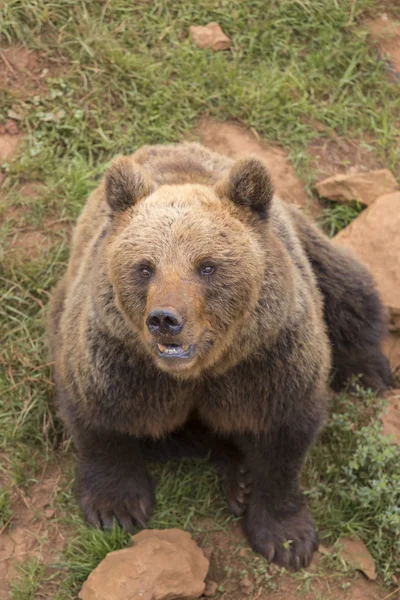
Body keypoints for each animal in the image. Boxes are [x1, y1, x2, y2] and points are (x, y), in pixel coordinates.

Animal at [49, 141, 390, 568]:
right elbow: (99, 416)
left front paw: (287, 538)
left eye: (207, 266)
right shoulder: (121, 360)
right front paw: (116, 507)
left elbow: (286, 434)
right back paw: (234, 472)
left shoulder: (267, 358)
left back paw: (370, 371)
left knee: (346, 286)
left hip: (308, 249)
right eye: (144, 267)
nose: (165, 319)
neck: (202, 370)